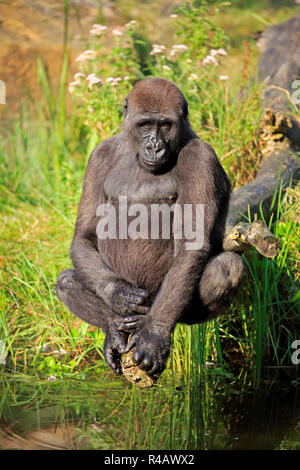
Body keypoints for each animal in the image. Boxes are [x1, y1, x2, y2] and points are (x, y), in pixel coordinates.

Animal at [55, 78, 246, 378]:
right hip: (130, 316)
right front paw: (119, 295)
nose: (154, 146)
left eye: (165, 125)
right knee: (66, 281)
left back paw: (156, 323)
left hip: (170, 310)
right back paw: (113, 328)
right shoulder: (99, 155)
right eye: (145, 124)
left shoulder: (200, 158)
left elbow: (192, 243)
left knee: (226, 267)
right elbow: (84, 236)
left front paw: (155, 337)